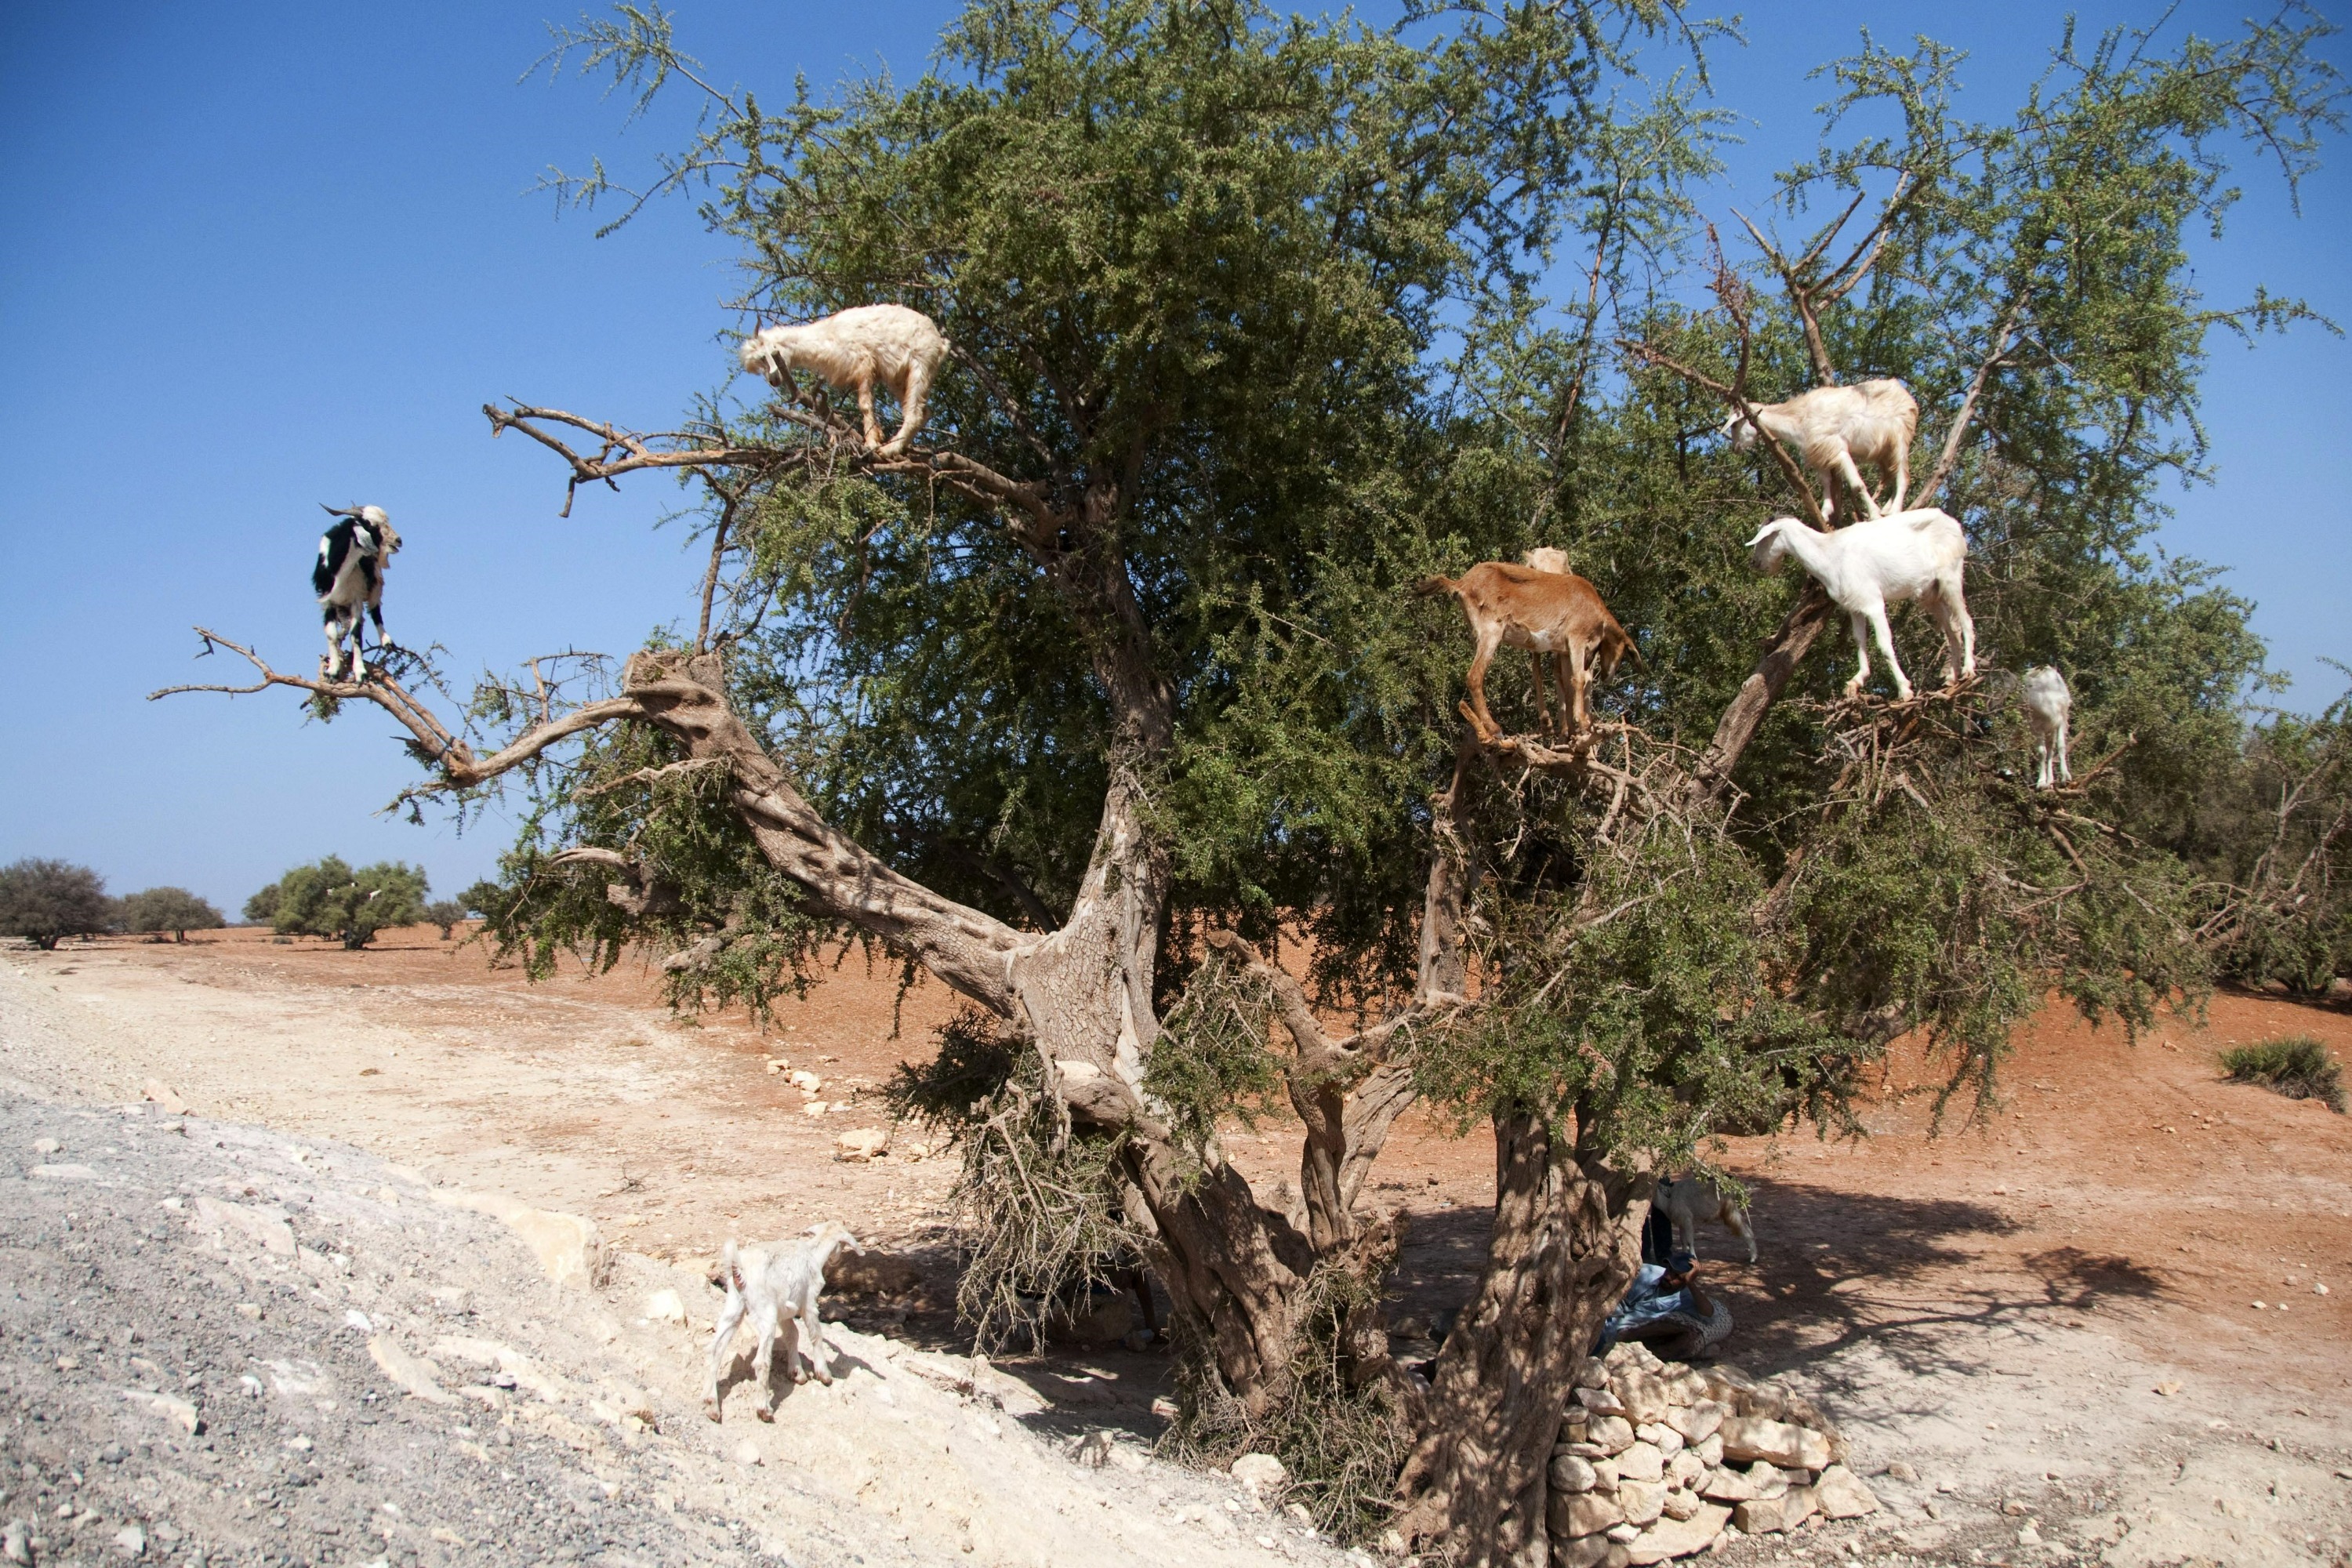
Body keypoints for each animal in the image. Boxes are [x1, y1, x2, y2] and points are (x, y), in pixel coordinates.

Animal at [315, 503, 402, 677]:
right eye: (372, 525)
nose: (398, 541)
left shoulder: (356, 597)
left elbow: (356, 635)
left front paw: (360, 672)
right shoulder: (327, 599)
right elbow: (331, 635)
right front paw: (333, 671)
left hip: (376, 583)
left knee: (375, 612)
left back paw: (386, 642)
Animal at [1421, 561, 1646, 738]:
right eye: (1623, 652)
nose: (1608, 676)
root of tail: (1461, 583)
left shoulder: (1564, 651)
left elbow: (1566, 683)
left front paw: (1570, 732)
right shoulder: (1577, 638)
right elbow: (1579, 679)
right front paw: (1583, 724)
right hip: (1491, 630)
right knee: (1474, 676)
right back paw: (1494, 729)